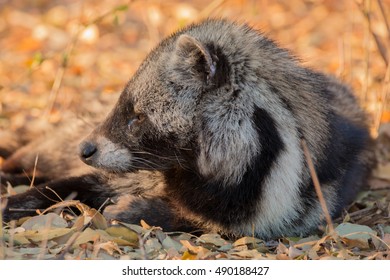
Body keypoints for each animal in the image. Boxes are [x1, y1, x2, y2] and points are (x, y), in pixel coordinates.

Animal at [0, 19, 374, 238]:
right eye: (125, 108)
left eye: (137, 116)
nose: (85, 149)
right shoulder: (132, 170)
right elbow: (69, 184)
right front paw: (18, 200)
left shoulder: (289, 205)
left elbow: (201, 219)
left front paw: (143, 212)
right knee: (36, 157)